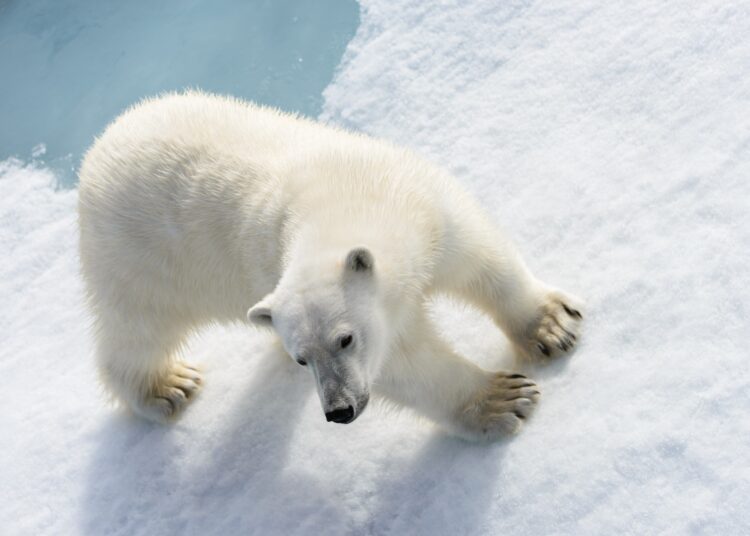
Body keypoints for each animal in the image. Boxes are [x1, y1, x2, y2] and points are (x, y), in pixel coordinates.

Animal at [78, 91, 583, 441]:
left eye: (345, 338)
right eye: (304, 358)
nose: (339, 410)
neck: (345, 200)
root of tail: (101, 145)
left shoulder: (429, 214)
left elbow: (480, 259)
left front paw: (553, 326)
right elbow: (407, 365)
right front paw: (504, 401)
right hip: (139, 260)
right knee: (137, 330)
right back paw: (168, 386)